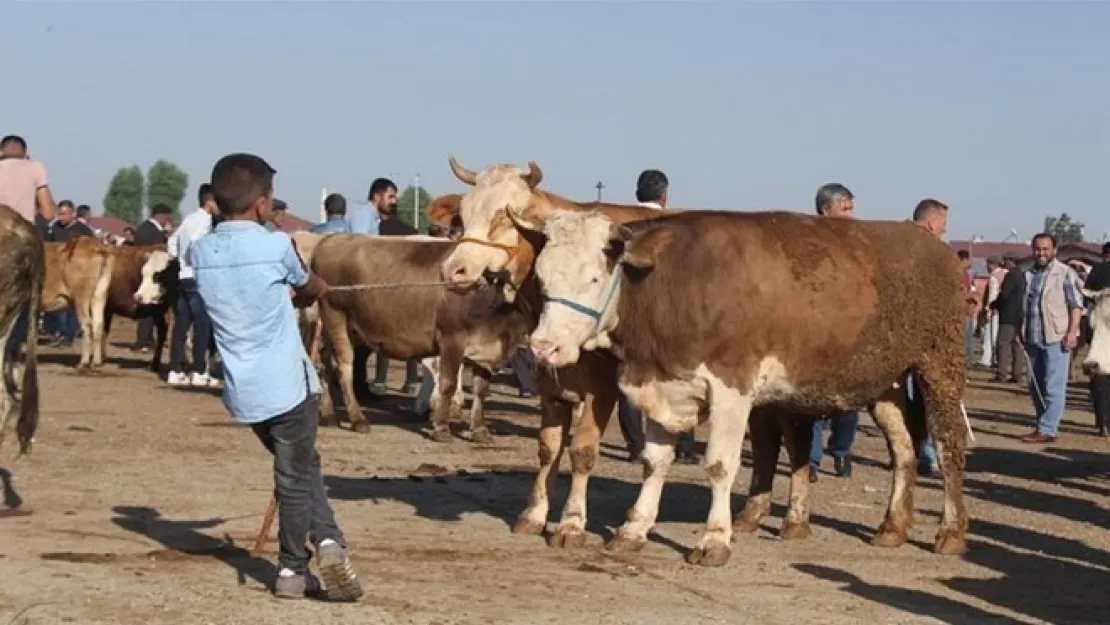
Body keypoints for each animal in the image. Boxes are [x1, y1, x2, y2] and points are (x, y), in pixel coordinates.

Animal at [42, 238, 116, 366]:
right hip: (99, 294)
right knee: (98, 324)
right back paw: (96, 361)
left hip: (81, 296)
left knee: (87, 325)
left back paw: (84, 362)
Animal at [519, 206, 972, 568]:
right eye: (541, 280)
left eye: (594, 278)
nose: (543, 346)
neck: (674, 284)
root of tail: (931, 243)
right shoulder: (663, 384)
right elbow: (655, 461)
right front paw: (634, 530)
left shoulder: (731, 389)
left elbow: (720, 466)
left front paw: (714, 540)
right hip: (884, 380)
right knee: (904, 449)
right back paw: (893, 526)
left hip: (940, 363)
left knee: (947, 442)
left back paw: (950, 532)